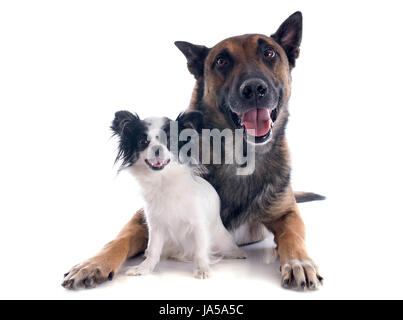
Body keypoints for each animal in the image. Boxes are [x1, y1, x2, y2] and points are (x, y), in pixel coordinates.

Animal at [109, 111, 246, 278]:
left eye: (169, 141)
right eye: (143, 141)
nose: (157, 149)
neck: (163, 180)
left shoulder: (199, 224)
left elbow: (200, 250)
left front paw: (202, 268)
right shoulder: (156, 227)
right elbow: (153, 250)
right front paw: (144, 268)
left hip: (221, 239)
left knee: (224, 247)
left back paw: (236, 253)